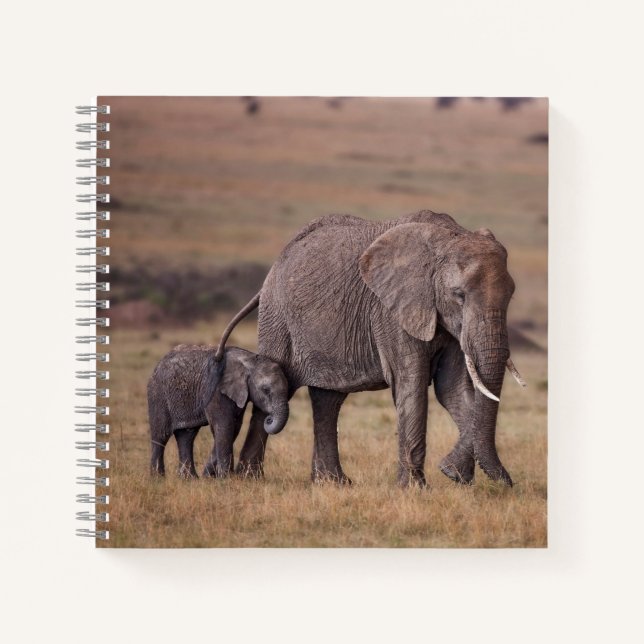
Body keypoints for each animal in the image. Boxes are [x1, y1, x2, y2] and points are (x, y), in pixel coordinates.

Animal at [147, 344, 289, 478]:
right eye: (266, 390)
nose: (269, 419)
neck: (249, 361)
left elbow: (234, 428)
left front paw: (211, 476)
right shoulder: (216, 391)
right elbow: (225, 426)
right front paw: (226, 478)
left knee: (186, 436)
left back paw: (189, 479)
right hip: (158, 395)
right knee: (161, 435)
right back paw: (158, 478)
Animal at [216, 210, 525, 487]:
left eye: (511, 295)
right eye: (458, 295)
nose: (509, 484)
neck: (449, 237)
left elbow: (452, 389)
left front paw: (458, 476)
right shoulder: (390, 311)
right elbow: (411, 383)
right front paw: (414, 489)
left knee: (328, 400)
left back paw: (333, 483)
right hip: (277, 318)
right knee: (276, 383)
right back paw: (250, 478)